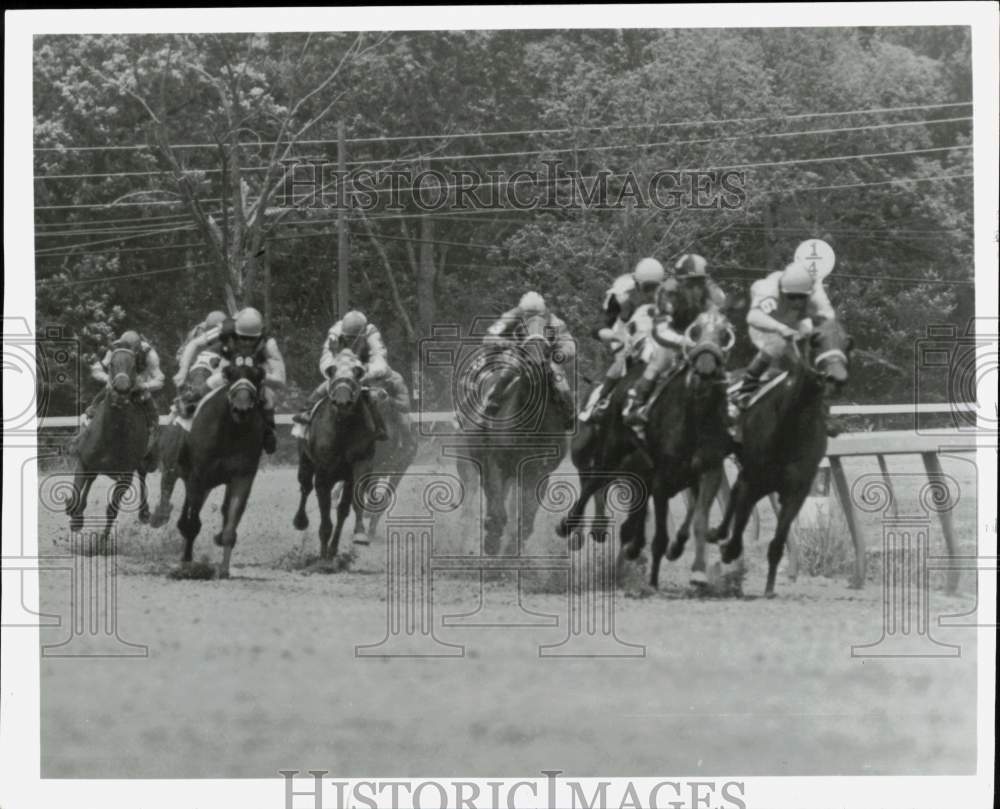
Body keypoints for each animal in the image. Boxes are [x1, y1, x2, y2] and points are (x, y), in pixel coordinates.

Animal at [66, 344, 153, 548]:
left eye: (134, 366)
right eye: (112, 364)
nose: (120, 391)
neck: (112, 435)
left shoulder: (126, 476)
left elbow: (112, 509)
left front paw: (101, 541)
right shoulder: (83, 461)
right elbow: (77, 490)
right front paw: (75, 518)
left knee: (142, 474)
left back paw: (144, 512)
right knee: (90, 480)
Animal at [177, 352, 268, 576]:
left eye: (257, 375)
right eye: (230, 374)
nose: (242, 408)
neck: (230, 432)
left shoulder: (242, 476)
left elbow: (231, 521)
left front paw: (224, 570)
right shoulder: (198, 475)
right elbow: (192, 522)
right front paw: (187, 564)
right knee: (188, 511)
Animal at [294, 350, 380, 560]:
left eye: (357, 372)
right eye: (332, 370)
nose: (342, 401)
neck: (343, 430)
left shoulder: (358, 466)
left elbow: (346, 508)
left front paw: (357, 535)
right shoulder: (323, 474)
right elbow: (324, 508)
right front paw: (324, 551)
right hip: (305, 462)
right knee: (305, 487)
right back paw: (300, 520)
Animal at [708, 318, 856, 596]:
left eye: (847, 343)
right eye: (815, 341)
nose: (837, 378)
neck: (790, 425)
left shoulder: (796, 490)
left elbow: (777, 542)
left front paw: (769, 588)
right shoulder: (755, 481)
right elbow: (740, 527)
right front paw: (728, 551)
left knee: (733, 491)